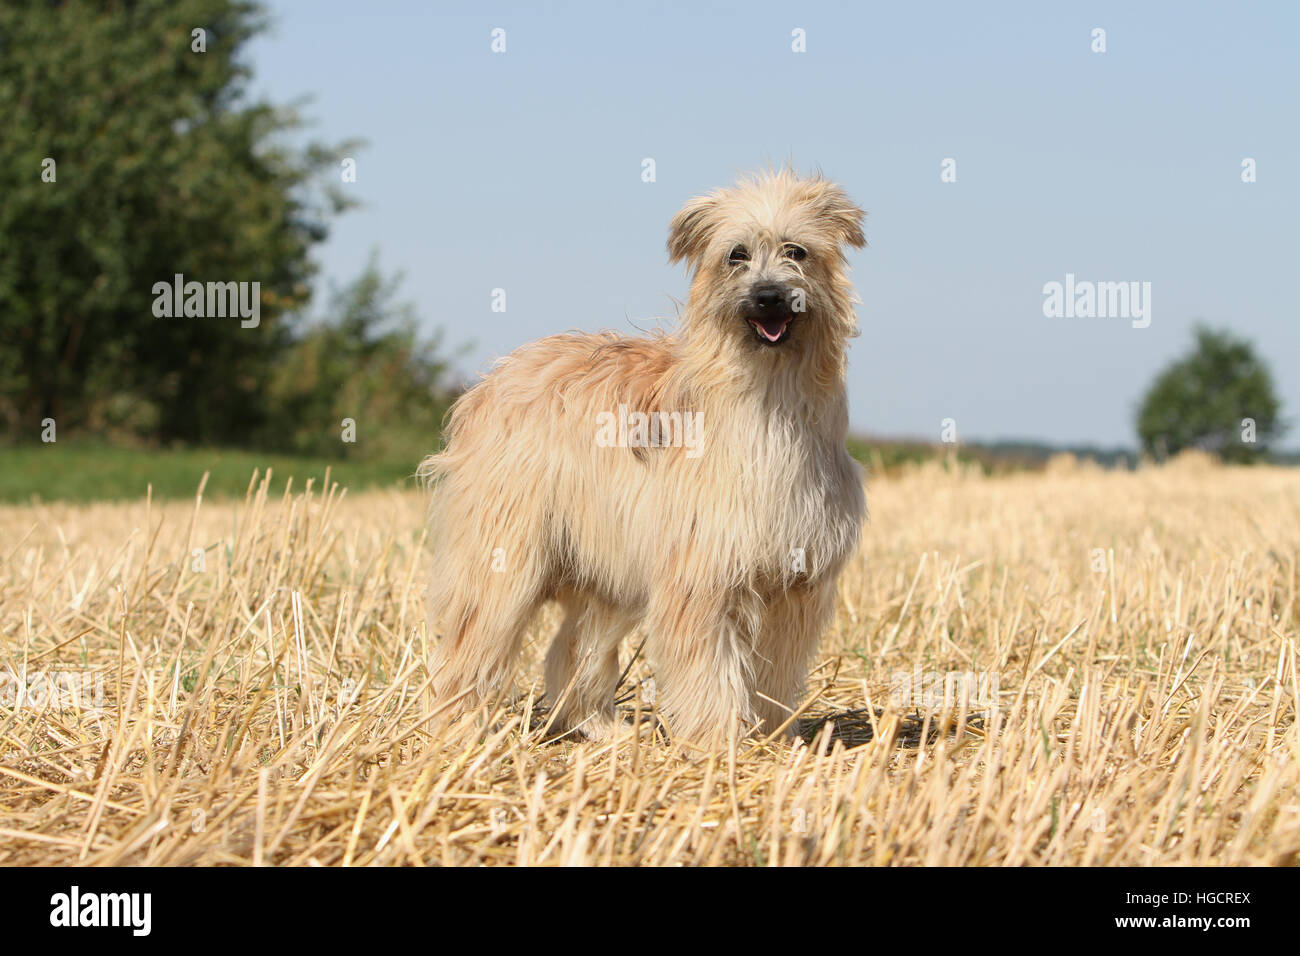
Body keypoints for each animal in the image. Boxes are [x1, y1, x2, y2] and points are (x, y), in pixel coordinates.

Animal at [421, 170, 868, 749]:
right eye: (737, 255)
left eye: (797, 251)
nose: (768, 296)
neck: (768, 399)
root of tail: (492, 379)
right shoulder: (700, 574)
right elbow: (707, 669)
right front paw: (717, 742)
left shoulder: (796, 587)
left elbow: (774, 673)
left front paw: (772, 739)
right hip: (504, 559)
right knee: (471, 643)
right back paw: (455, 731)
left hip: (604, 576)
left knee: (572, 653)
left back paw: (601, 728)